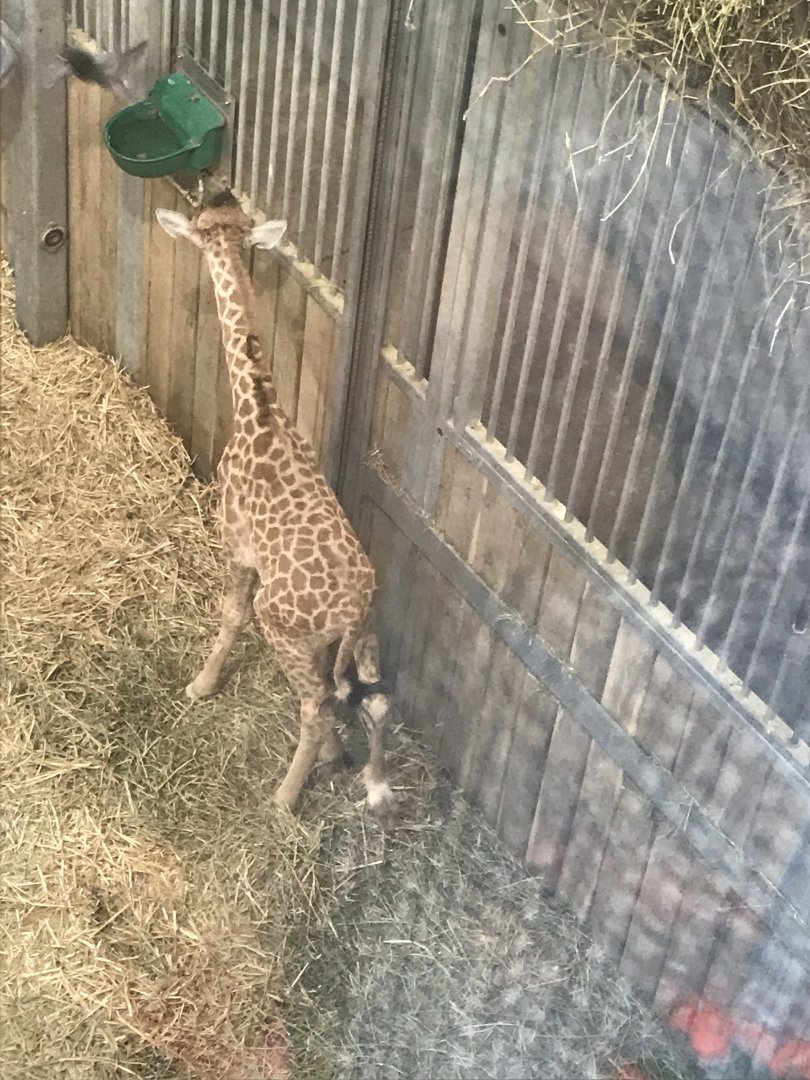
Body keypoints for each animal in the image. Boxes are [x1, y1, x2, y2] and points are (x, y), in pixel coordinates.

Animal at [155, 191, 397, 820]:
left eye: (200, 232)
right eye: (217, 226)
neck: (257, 408)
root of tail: (355, 604)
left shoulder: (236, 541)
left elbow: (230, 614)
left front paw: (201, 685)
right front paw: (339, 757)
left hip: (284, 625)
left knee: (318, 702)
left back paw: (285, 796)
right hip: (363, 636)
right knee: (373, 698)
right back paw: (376, 784)